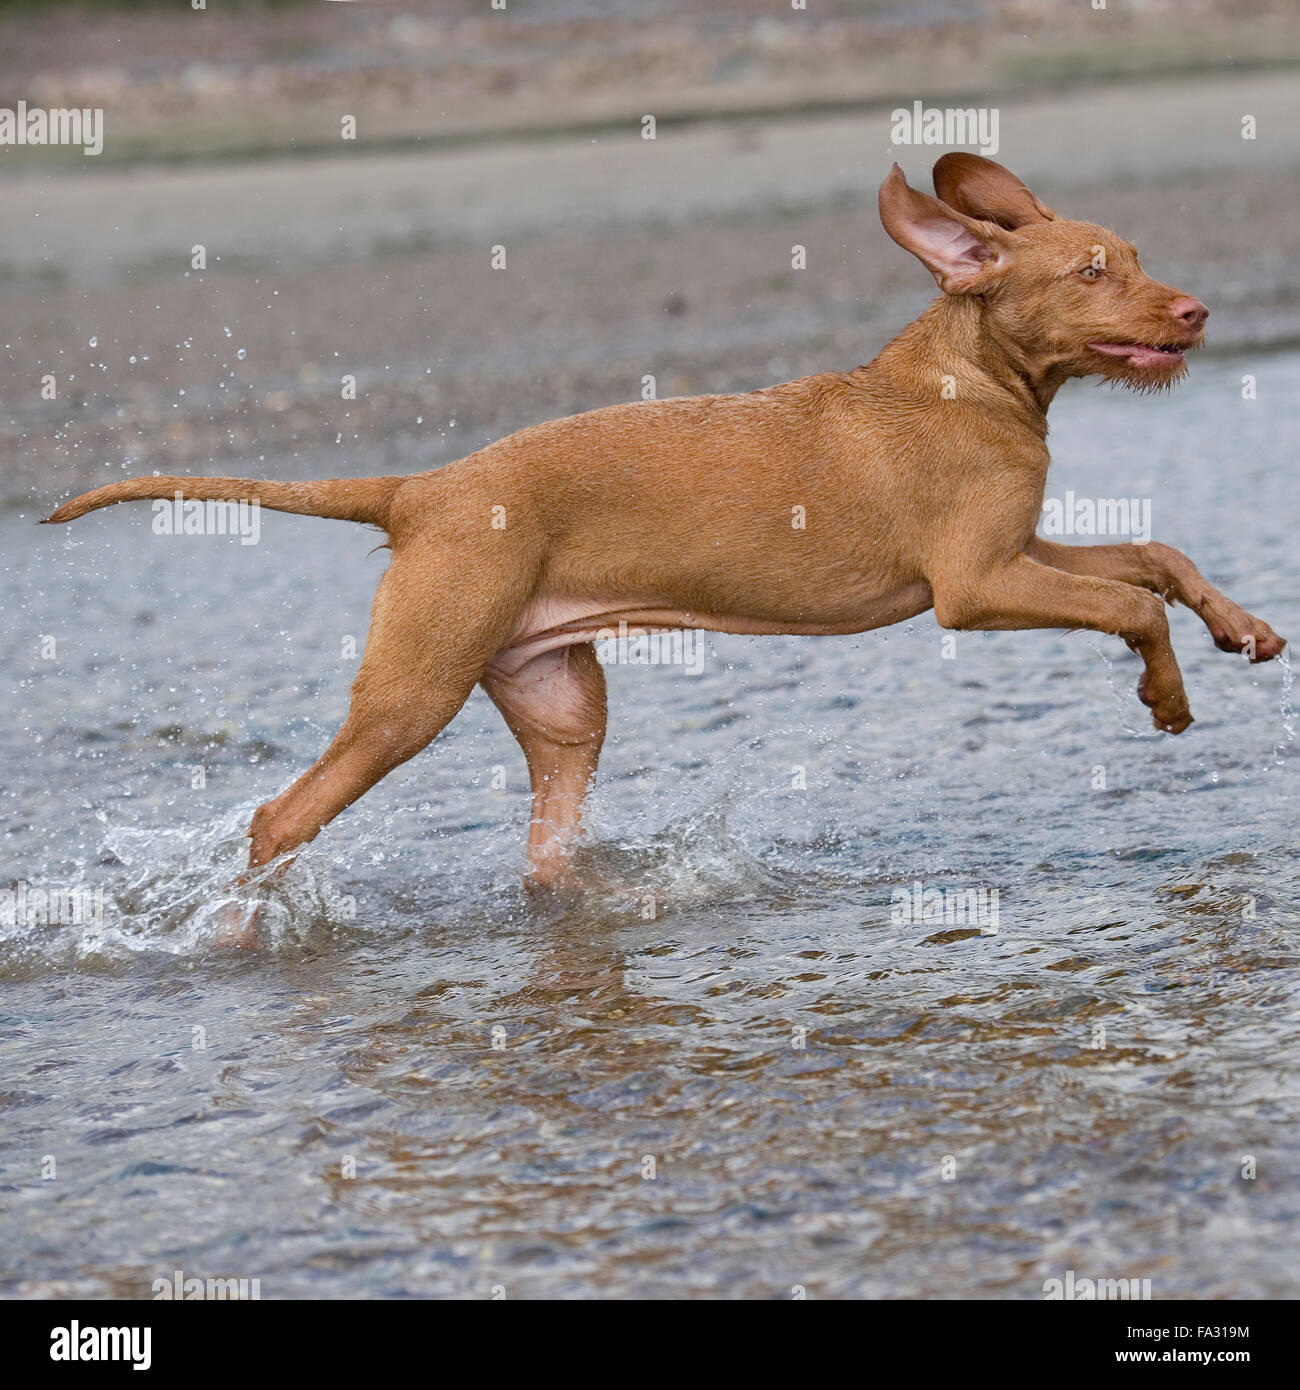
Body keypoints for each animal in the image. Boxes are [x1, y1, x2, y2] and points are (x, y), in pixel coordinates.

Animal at [45, 154, 1284, 889]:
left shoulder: (1017, 551)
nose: (1195, 310)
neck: (970, 376)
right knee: (277, 817)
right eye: (1091, 272)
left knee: (542, 852)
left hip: (558, 703)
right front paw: (1167, 696)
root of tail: (421, 489)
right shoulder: (972, 587)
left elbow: (1152, 553)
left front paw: (1243, 629)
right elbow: (1126, 601)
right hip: (411, 694)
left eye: (1136, 259)